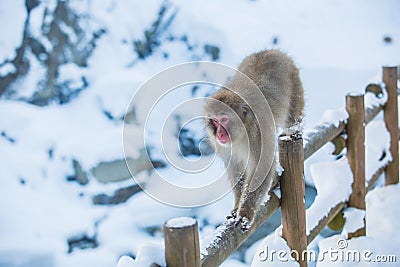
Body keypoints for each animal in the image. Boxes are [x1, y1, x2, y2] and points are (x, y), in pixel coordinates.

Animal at [205, 50, 304, 230]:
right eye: (214, 121)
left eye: (224, 119)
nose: (219, 134)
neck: (241, 132)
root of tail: (271, 51)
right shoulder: (224, 147)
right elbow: (236, 169)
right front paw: (237, 207)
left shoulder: (259, 134)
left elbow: (262, 167)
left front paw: (244, 214)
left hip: (295, 85)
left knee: (292, 117)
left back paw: (293, 132)